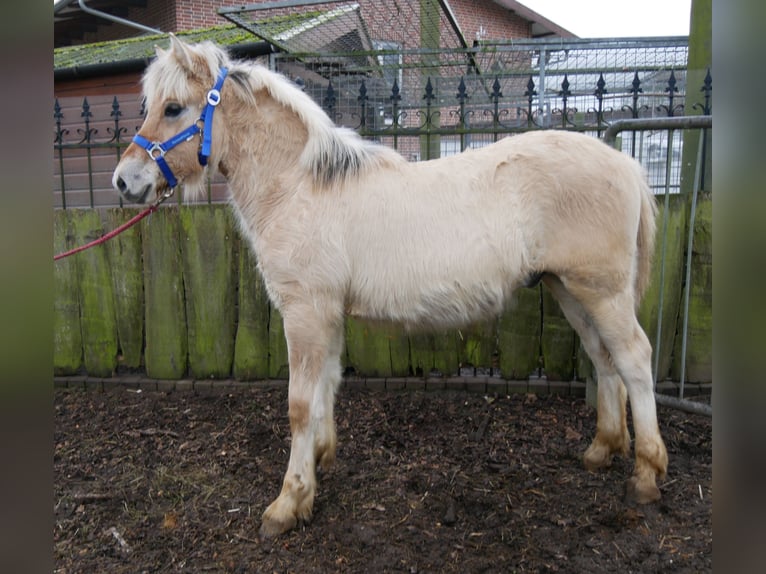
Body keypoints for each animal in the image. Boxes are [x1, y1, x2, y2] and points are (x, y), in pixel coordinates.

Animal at [111, 36, 668, 540]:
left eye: (173, 108)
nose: (124, 180)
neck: (300, 186)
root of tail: (626, 165)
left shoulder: (305, 312)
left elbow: (299, 404)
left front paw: (288, 502)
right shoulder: (326, 314)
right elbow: (326, 387)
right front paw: (320, 461)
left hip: (601, 292)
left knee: (635, 358)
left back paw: (645, 474)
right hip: (571, 290)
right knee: (603, 358)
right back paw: (601, 450)